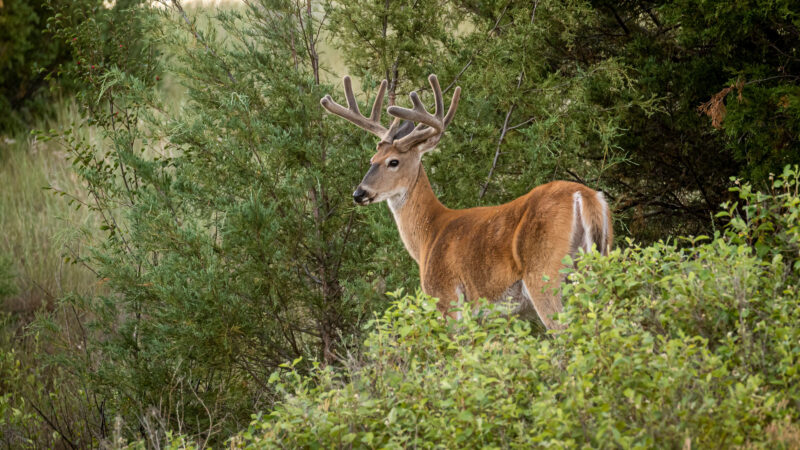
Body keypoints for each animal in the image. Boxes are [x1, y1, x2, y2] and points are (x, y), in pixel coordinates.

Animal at [318, 74, 612, 330]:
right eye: (372, 160)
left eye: (393, 162)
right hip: (600, 257)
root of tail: (584, 197)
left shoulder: (446, 296)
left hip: (546, 273)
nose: (359, 193)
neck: (429, 235)